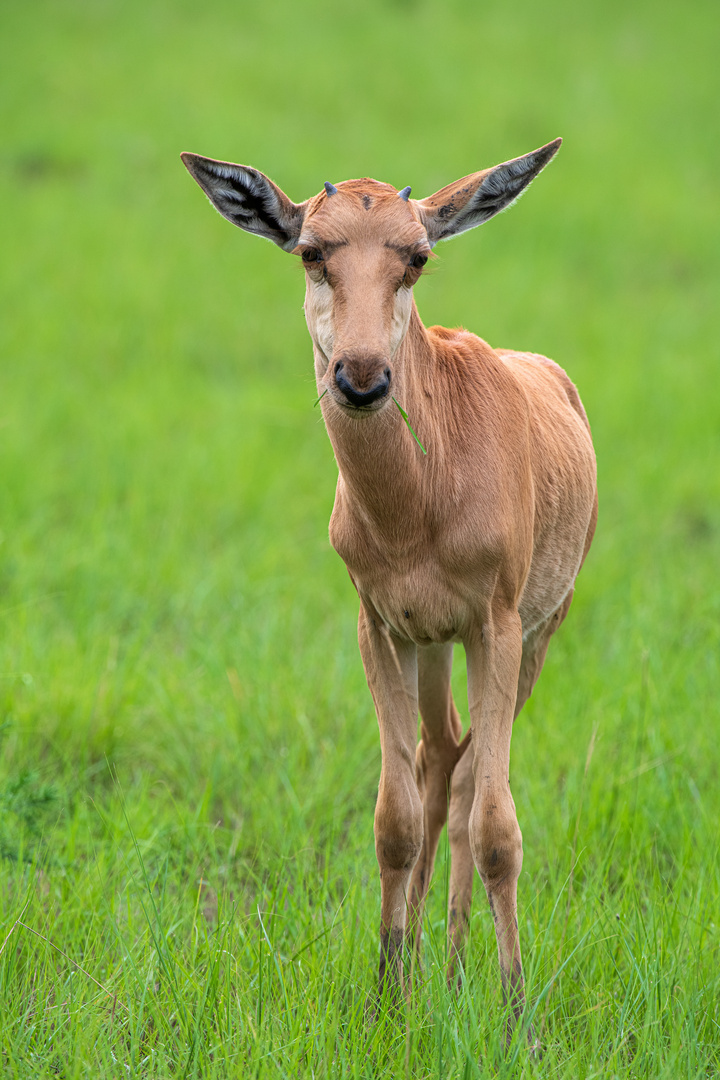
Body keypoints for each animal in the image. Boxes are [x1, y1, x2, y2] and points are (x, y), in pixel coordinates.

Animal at [183, 139, 600, 1041]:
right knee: (438, 760)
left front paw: (517, 1017)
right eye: (312, 251)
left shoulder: (497, 627)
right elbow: (395, 819)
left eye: (417, 257)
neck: (422, 492)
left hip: (536, 634)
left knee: (471, 778)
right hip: (431, 646)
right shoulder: (380, 628)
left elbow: (497, 826)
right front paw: (385, 995)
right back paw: (435, 969)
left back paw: (459, 969)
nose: (362, 379)